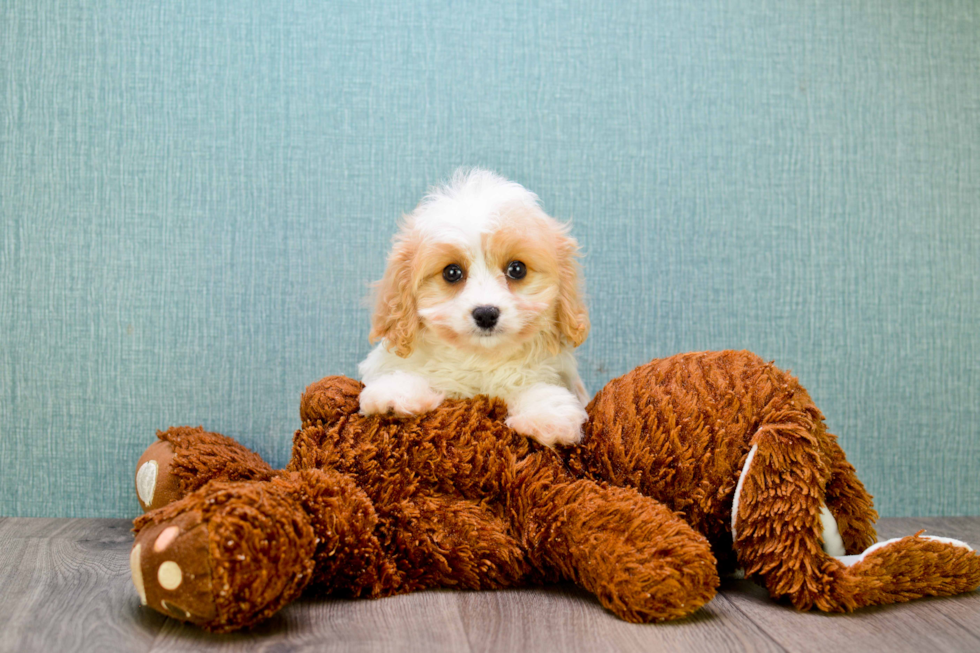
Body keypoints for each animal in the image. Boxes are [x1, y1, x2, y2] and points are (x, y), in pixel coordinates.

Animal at [360, 167, 588, 448]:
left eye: (517, 269)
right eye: (452, 272)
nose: (486, 313)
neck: (480, 358)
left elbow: (539, 386)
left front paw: (547, 416)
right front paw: (395, 392)